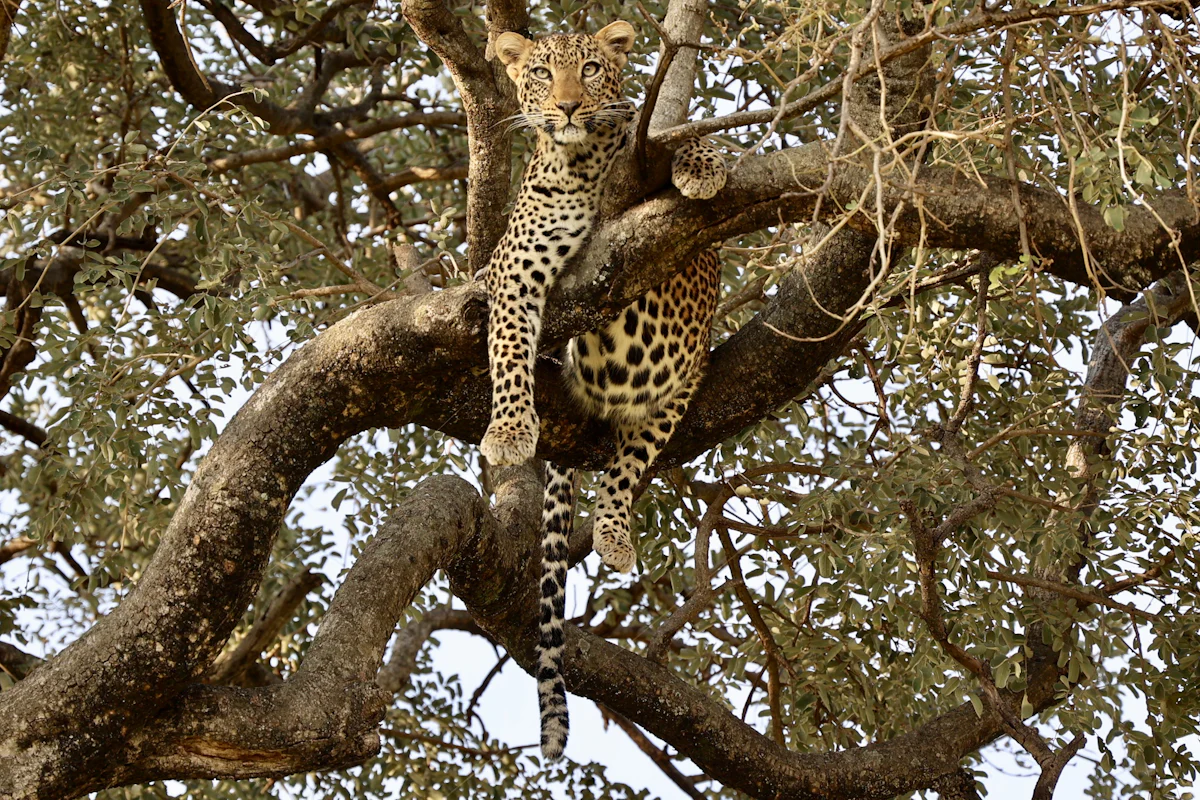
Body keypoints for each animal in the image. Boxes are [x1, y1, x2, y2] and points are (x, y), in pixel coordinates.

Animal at [482, 20, 727, 761]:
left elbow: (670, 140)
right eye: (539, 72)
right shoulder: (514, 271)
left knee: (629, 465)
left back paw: (616, 534)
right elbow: (508, 353)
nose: (566, 107)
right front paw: (509, 432)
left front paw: (703, 164)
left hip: (685, 380)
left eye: (591, 68)